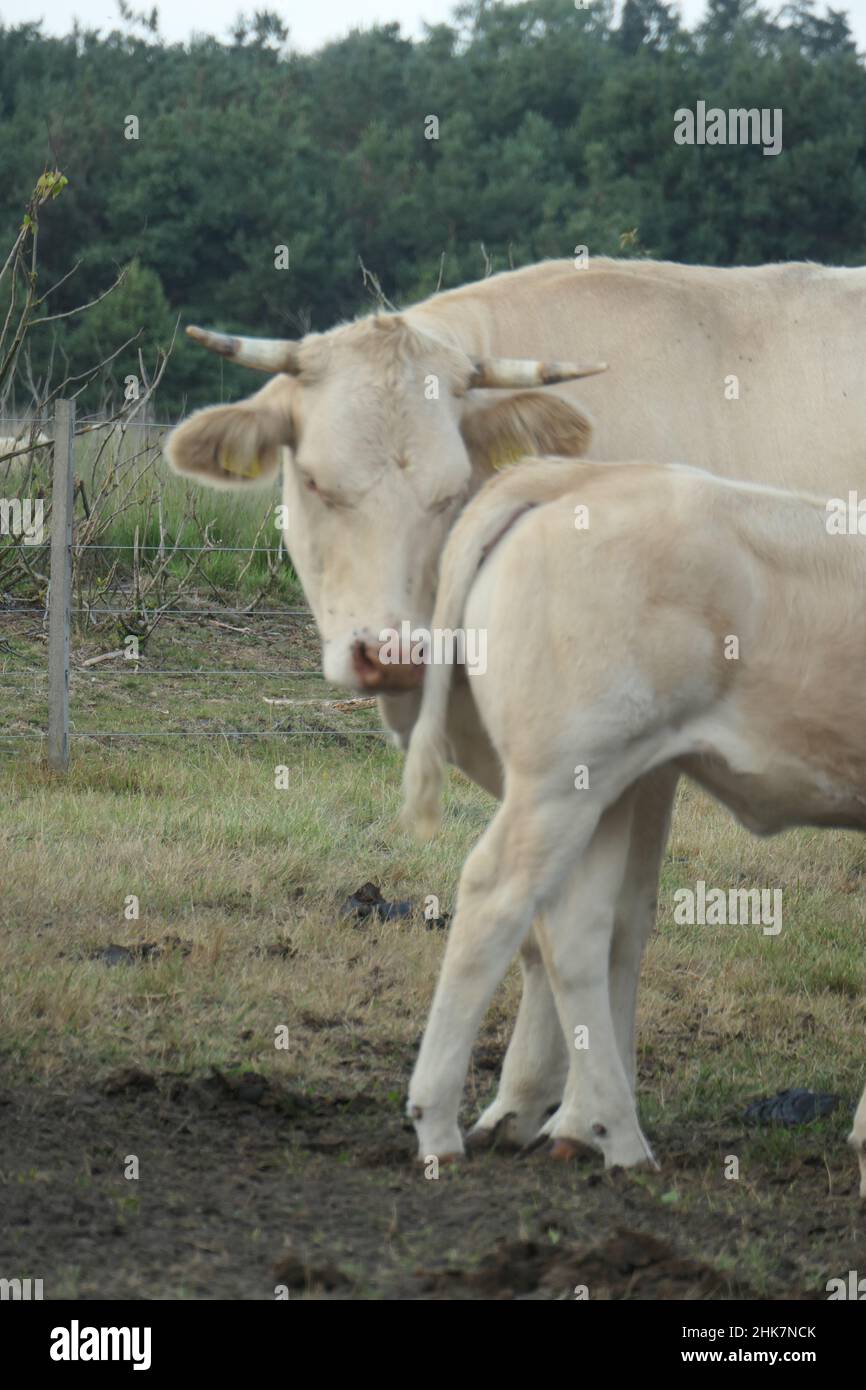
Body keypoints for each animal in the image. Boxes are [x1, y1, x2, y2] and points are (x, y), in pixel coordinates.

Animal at [400, 455, 866, 1195]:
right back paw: (440, 1124)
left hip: (605, 786)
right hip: (563, 772)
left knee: (579, 929)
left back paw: (610, 1133)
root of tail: (584, 473)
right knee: (495, 897)